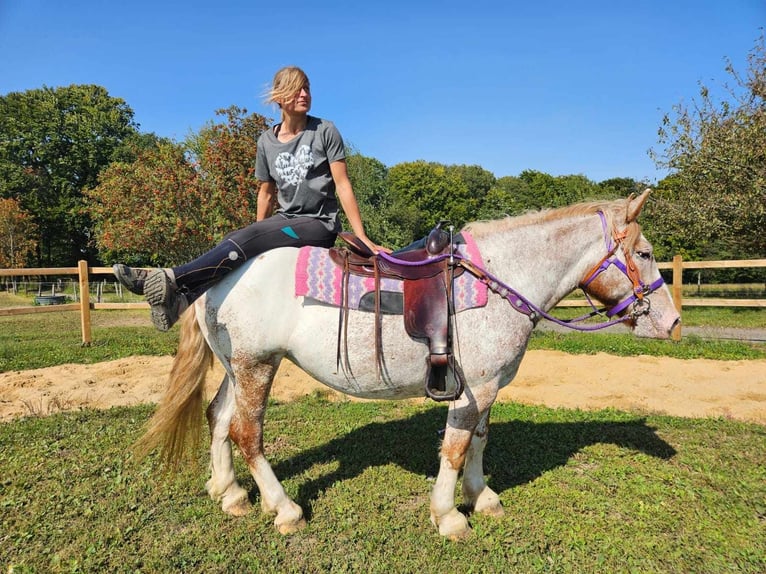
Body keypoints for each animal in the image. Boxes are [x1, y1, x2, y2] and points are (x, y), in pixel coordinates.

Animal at [136, 190, 680, 540]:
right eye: (645, 252)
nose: (672, 322)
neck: (500, 278)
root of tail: (212, 277)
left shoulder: (489, 388)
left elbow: (479, 441)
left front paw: (483, 498)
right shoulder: (473, 388)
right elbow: (455, 450)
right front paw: (450, 516)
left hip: (237, 367)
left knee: (218, 418)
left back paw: (228, 493)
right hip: (257, 366)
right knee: (247, 433)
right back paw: (284, 509)